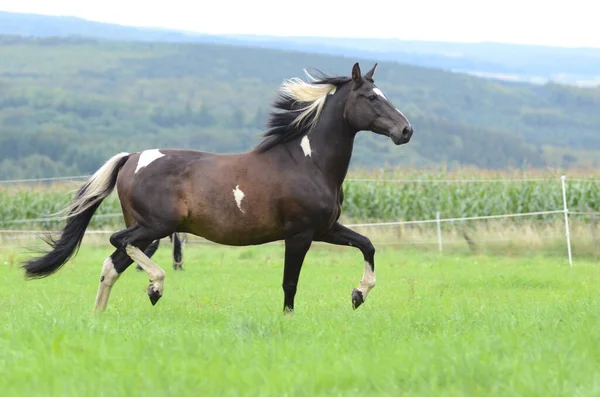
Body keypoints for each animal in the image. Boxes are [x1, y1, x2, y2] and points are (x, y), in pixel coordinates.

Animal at [22, 62, 412, 312]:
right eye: (372, 98)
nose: (406, 130)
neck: (308, 162)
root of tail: (132, 157)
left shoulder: (326, 228)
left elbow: (367, 245)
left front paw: (358, 295)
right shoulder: (300, 234)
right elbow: (290, 283)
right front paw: (290, 319)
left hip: (148, 229)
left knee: (112, 264)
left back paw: (99, 318)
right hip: (155, 226)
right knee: (120, 243)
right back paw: (155, 288)